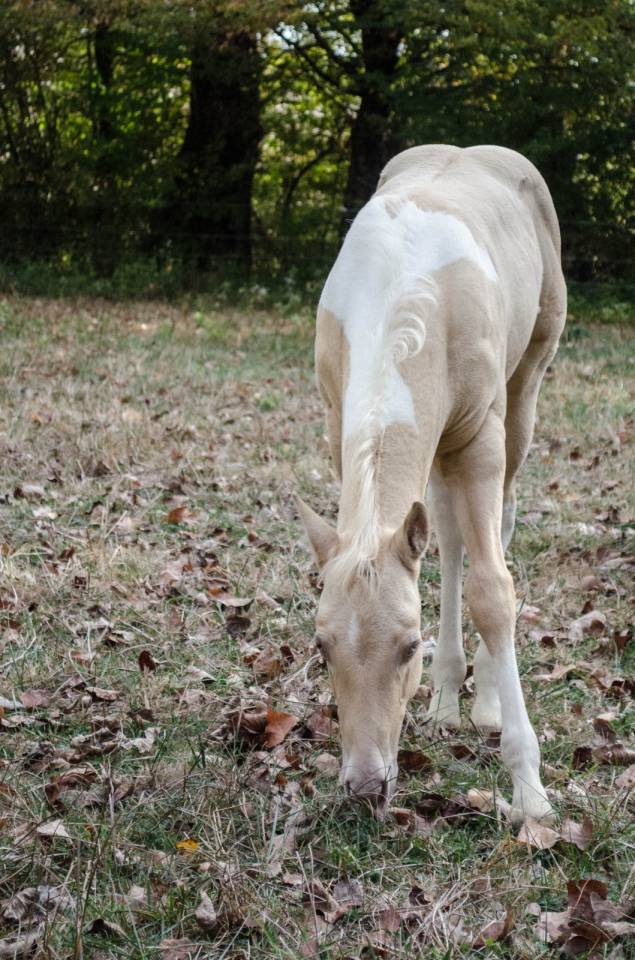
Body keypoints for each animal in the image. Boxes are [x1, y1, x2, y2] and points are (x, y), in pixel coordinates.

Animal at [298, 144, 566, 823]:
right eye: (322, 648)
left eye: (406, 647)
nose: (367, 787)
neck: (399, 288)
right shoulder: (339, 425)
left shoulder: (479, 438)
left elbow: (495, 591)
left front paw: (530, 790)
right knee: (445, 537)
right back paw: (447, 700)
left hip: (526, 386)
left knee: (500, 518)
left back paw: (486, 702)